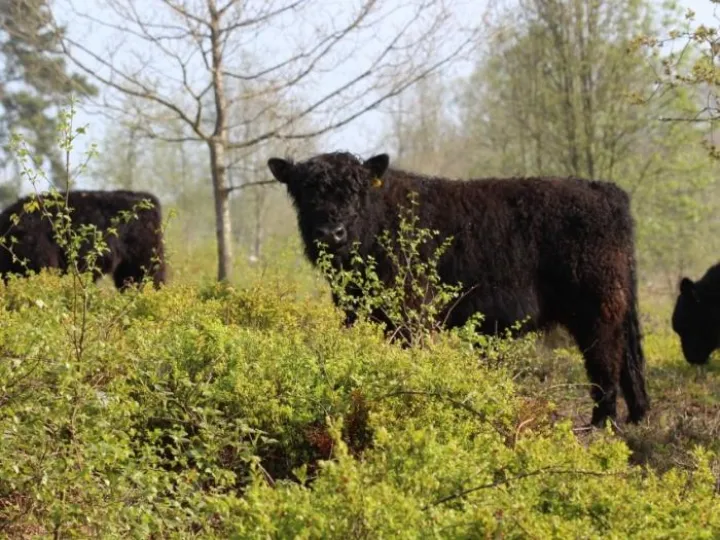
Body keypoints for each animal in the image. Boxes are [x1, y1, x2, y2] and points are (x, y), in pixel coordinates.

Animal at [267, 151, 649, 428]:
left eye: (356, 192)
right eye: (304, 193)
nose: (331, 233)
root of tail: (604, 190)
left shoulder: (411, 315)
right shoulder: (358, 313)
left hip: (597, 310)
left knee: (606, 361)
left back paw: (602, 424)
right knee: (628, 362)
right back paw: (637, 417)